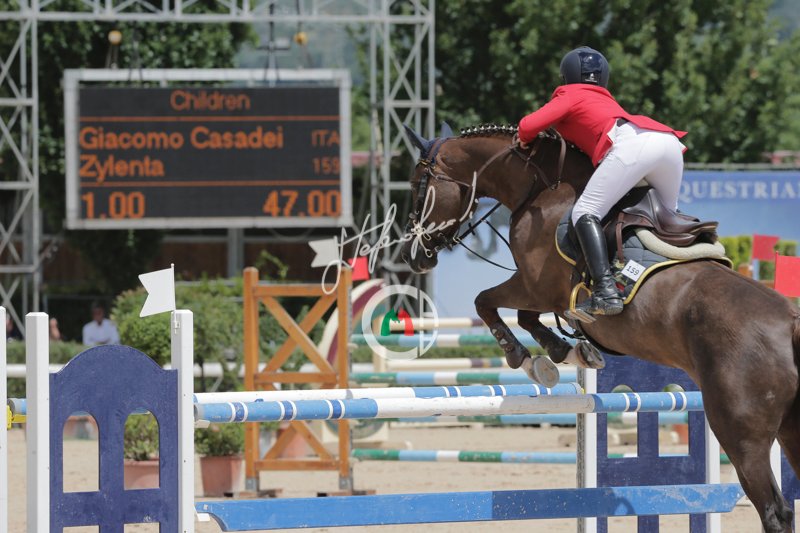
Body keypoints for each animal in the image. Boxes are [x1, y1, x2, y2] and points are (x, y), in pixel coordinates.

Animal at [399, 124, 800, 533]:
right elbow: (526, 318)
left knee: (774, 510)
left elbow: (486, 302)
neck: (542, 190)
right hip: (790, 429)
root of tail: (790, 321)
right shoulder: (546, 296)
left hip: (741, 432)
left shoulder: (534, 286)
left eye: (417, 185)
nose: (411, 257)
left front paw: (526, 359)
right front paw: (566, 352)